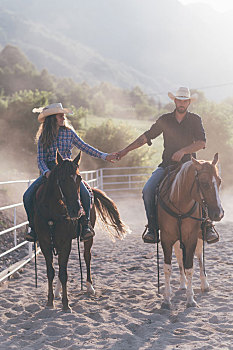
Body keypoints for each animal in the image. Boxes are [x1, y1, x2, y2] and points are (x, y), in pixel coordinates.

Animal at [34, 152, 127, 310]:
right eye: (62, 179)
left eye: (79, 178)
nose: (76, 210)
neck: (52, 212)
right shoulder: (45, 241)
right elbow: (51, 271)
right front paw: (50, 301)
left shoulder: (65, 241)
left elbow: (64, 273)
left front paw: (66, 304)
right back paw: (58, 291)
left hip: (88, 238)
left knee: (86, 256)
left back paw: (89, 287)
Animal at [158, 154, 224, 308]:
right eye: (204, 183)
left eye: (219, 182)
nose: (219, 214)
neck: (179, 205)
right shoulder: (166, 238)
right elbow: (168, 267)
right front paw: (166, 299)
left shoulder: (191, 238)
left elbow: (190, 267)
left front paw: (190, 299)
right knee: (179, 258)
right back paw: (182, 284)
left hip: (199, 237)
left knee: (199, 257)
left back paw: (204, 284)